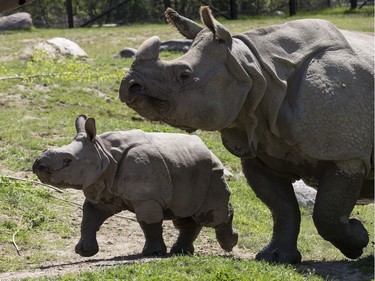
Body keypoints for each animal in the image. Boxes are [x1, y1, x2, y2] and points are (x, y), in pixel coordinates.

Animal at [32, 114, 238, 256]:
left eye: (67, 161)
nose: (37, 165)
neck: (103, 153)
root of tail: (210, 151)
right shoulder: (103, 191)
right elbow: (89, 219)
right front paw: (84, 252)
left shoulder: (147, 196)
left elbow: (148, 222)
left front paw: (152, 253)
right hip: (189, 171)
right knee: (185, 215)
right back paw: (181, 252)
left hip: (212, 173)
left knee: (209, 216)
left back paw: (229, 244)